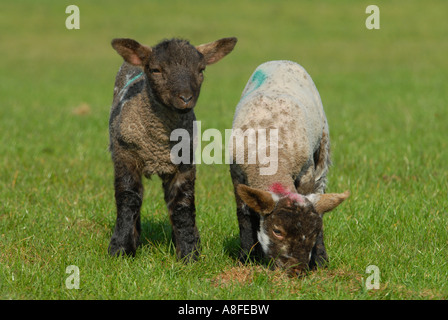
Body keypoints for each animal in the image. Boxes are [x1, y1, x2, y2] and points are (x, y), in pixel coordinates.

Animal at [109, 36, 238, 262]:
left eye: (201, 70)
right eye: (156, 70)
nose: (185, 98)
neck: (158, 143)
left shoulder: (185, 163)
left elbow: (182, 206)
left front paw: (189, 253)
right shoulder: (125, 156)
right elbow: (128, 198)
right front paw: (121, 249)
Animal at [231, 60, 350, 276]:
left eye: (313, 232)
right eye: (277, 231)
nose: (296, 271)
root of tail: (280, 61)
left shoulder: (306, 173)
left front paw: (319, 259)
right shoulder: (237, 174)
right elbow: (243, 215)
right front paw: (247, 259)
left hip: (322, 147)